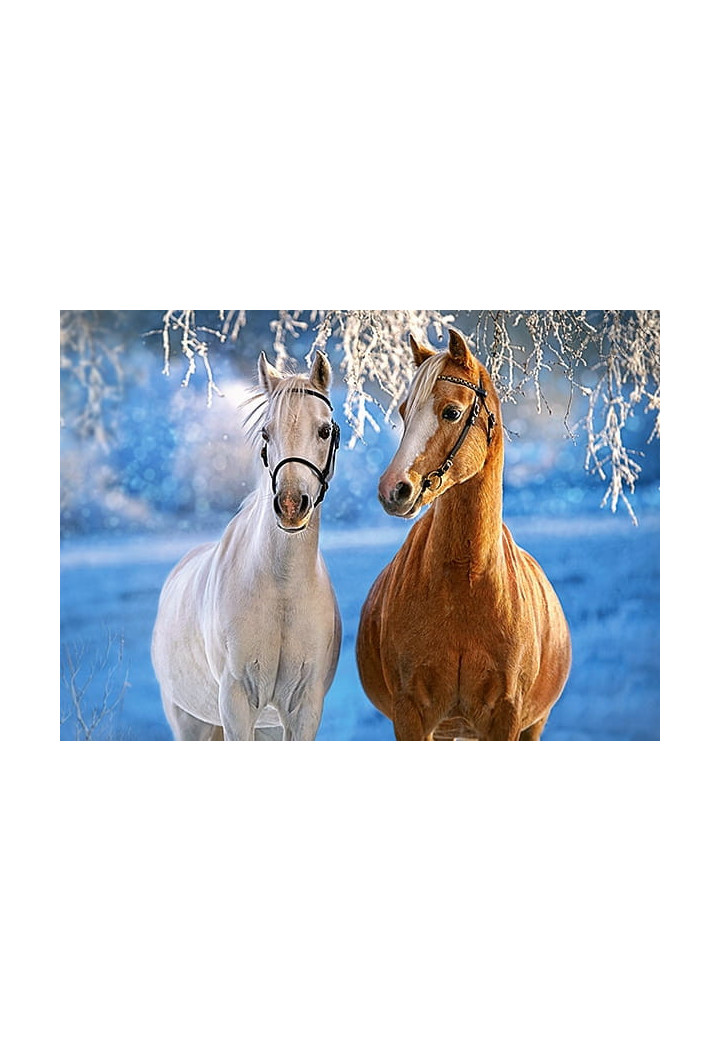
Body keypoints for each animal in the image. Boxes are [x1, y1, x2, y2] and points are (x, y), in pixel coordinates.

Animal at [151, 351, 342, 741]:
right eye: (267, 432)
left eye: (324, 430)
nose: (290, 505)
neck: (282, 589)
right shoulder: (237, 704)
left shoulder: (303, 709)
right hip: (190, 723)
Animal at [355, 328, 571, 741]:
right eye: (404, 411)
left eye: (451, 412)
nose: (393, 490)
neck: (465, 583)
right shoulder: (410, 716)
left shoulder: (506, 718)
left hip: (533, 726)